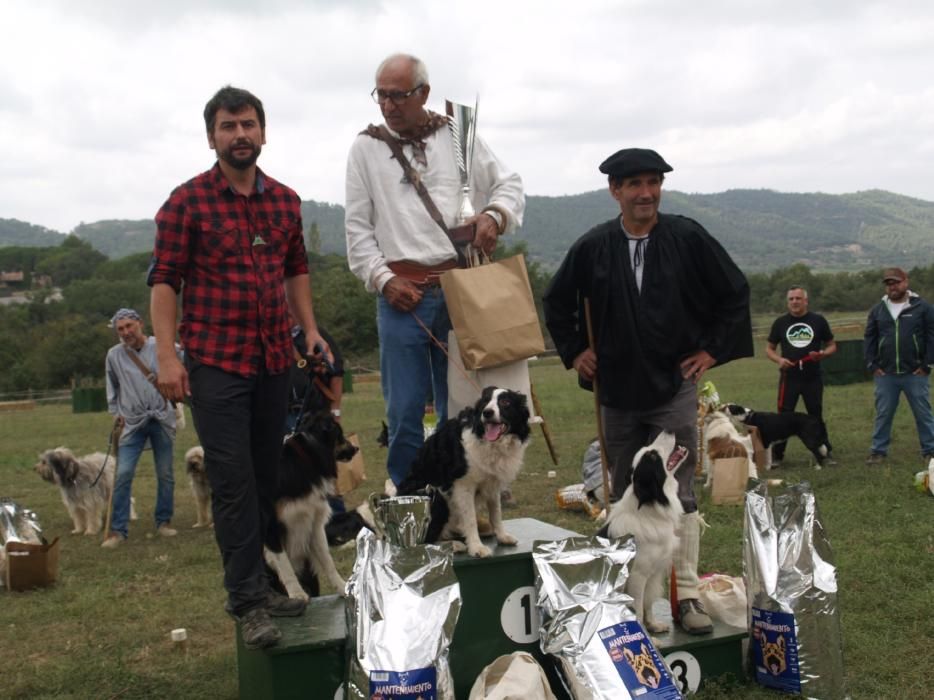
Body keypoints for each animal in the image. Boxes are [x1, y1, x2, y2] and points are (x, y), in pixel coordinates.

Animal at [400, 382, 532, 556]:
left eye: (505, 403)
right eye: (485, 402)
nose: (487, 413)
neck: (487, 441)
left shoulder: (492, 483)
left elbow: (496, 513)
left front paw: (502, 536)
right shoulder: (463, 485)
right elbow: (470, 520)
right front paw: (476, 547)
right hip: (434, 495)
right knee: (423, 540)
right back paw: (453, 545)